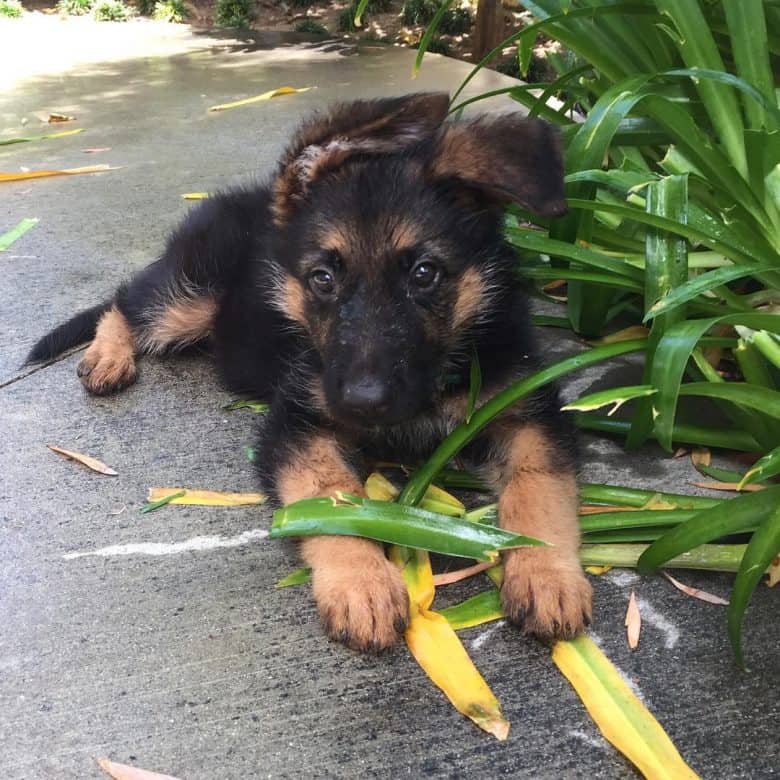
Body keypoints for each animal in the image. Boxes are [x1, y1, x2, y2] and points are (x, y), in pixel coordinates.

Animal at [27, 91, 596, 652]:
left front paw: (546, 573)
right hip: (188, 299)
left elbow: (538, 487)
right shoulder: (297, 422)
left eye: (425, 273)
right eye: (322, 279)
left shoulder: (528, 411)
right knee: (126, 301)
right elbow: (332, 495)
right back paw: (108, 357)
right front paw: (362, 583)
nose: (364, 402)